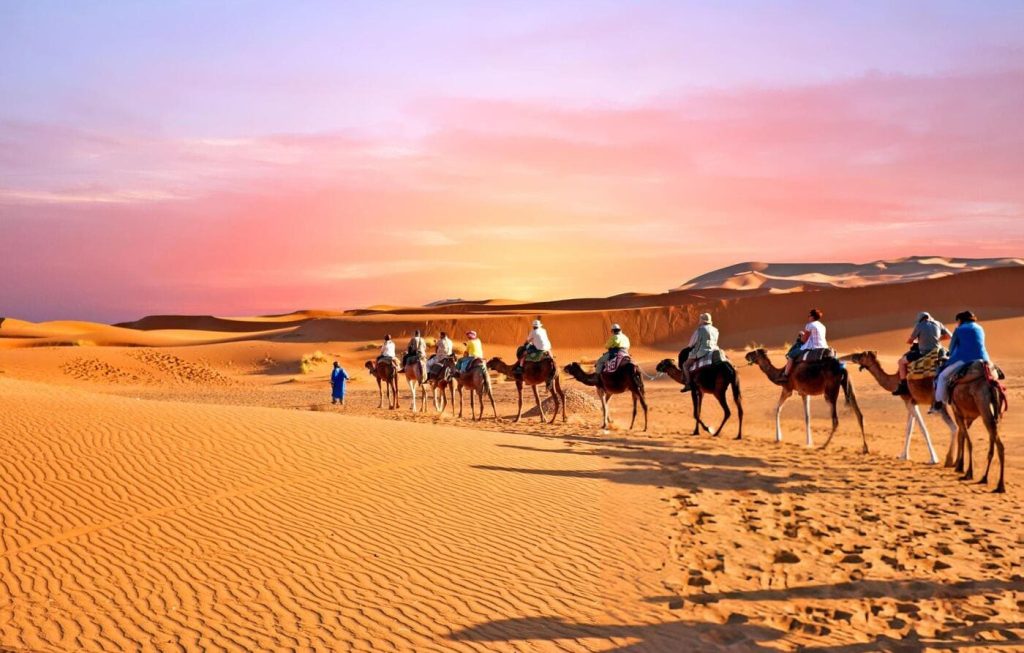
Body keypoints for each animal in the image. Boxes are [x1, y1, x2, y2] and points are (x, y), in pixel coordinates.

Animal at [944, 362, 1008, 493]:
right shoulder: (966, 417)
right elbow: (962, 436)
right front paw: (959, 465)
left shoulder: (957, 413)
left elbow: (967, 441)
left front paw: (967, 471)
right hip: (996, 414)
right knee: (994, 445)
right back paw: (986, 479)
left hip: (983, 407)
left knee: (999, 445)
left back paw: (1000, 485)